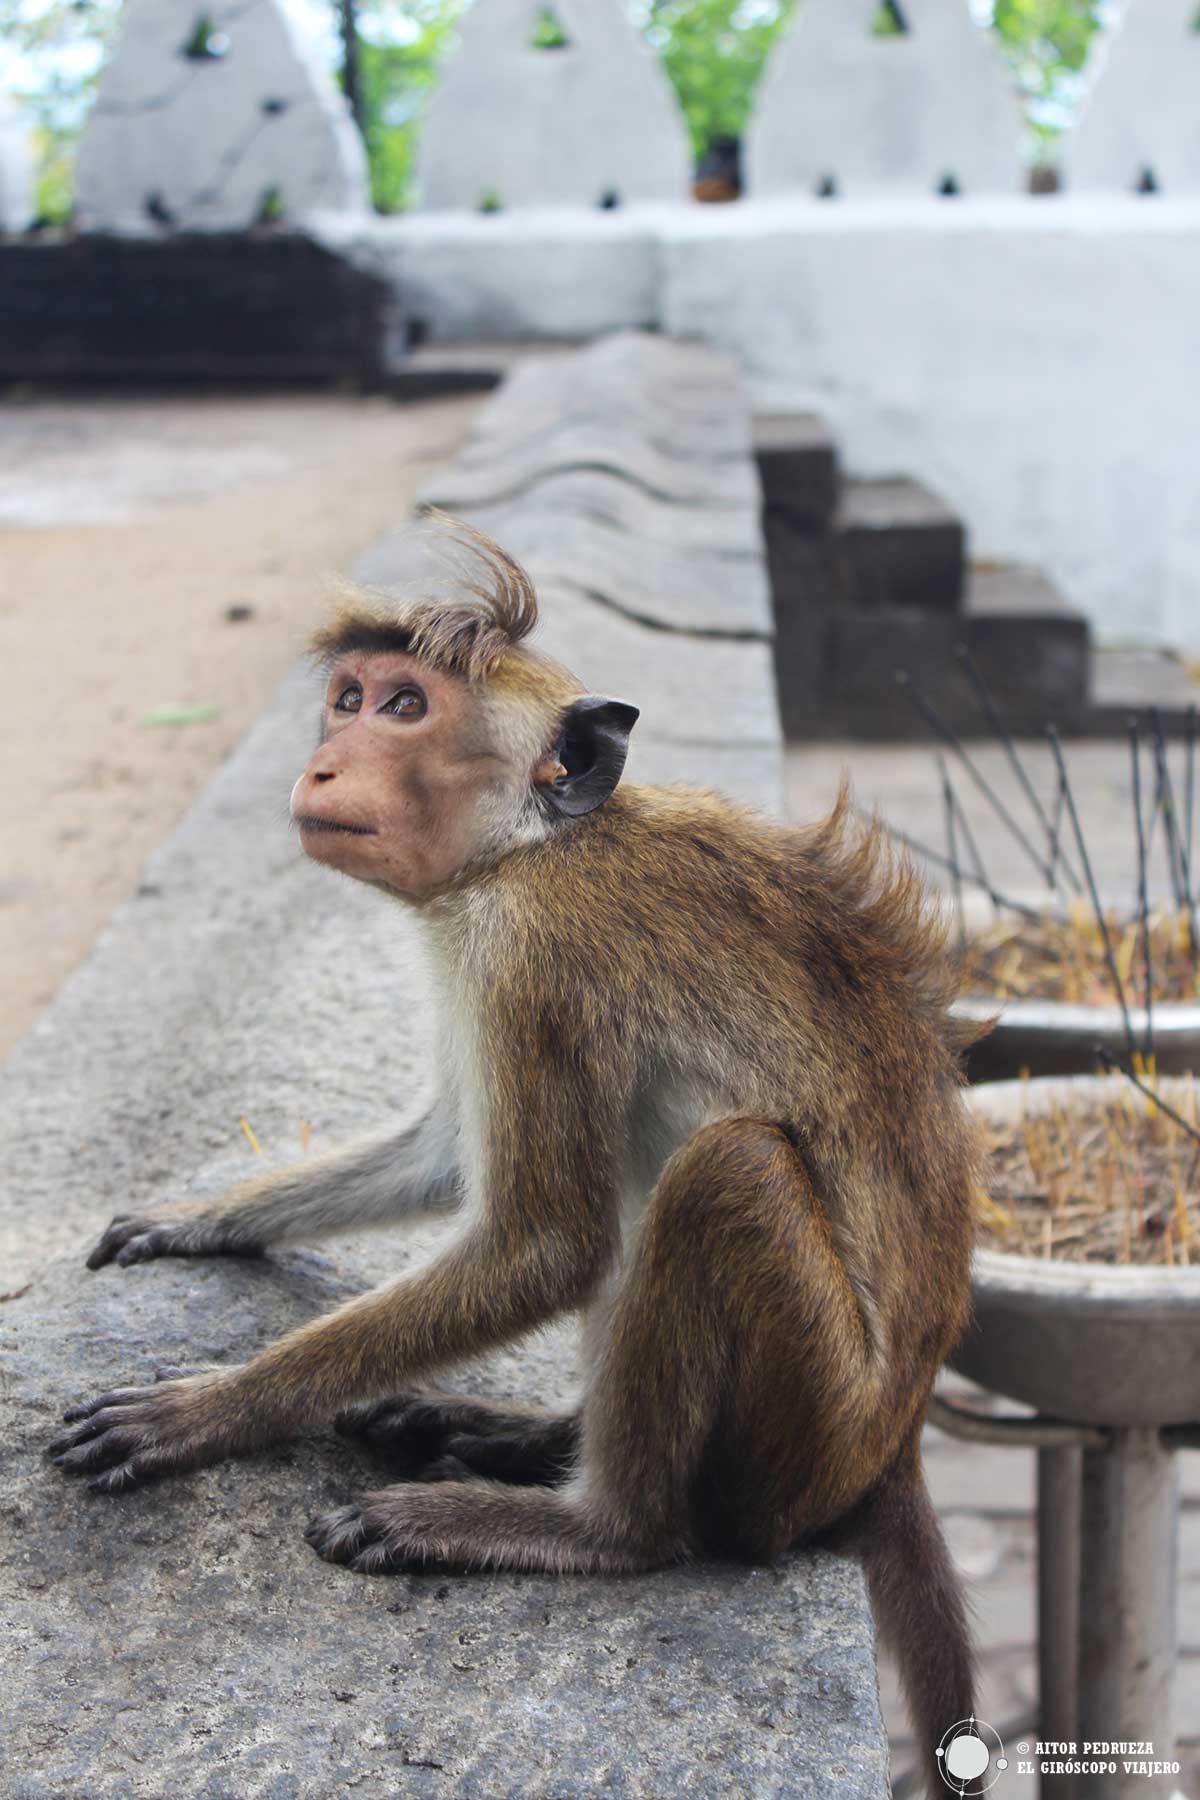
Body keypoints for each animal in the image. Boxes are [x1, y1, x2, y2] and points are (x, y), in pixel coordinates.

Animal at [49, 514, 985, 1792]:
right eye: (347, 700)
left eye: (405, 709)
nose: (324, 764)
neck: (529, 848)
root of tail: (888, 1455)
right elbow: (452, 1153)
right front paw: (208, 1214)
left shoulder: (536, 952)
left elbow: (542, 1244)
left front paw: (216, 1409)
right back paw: (529, 1435)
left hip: (809, 1427)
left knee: (727, 1173)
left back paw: (587, 1522)